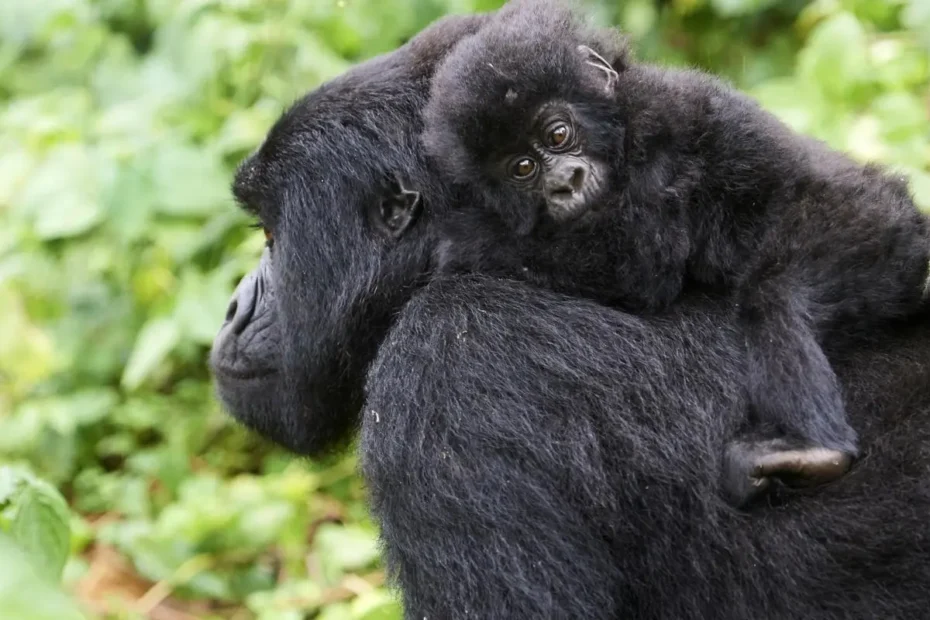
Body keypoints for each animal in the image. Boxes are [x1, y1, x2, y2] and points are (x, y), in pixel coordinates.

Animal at [421, 0, 930, 506]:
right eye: (523, 167)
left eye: (559, 134)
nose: (566, 182)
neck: (619, 118)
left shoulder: (658, 129)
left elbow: (641, 264)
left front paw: (468, 237)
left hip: (872, 225)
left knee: (775, 299)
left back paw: (813, 449)